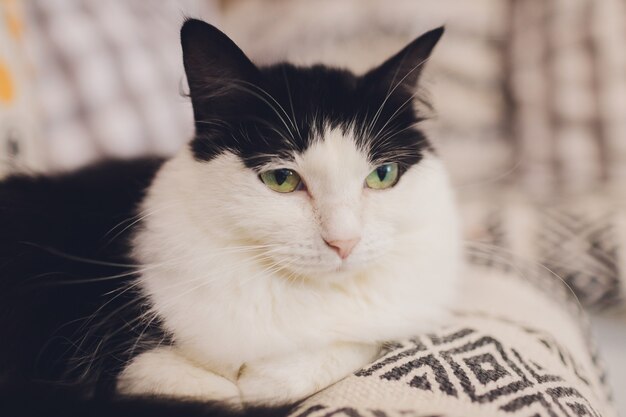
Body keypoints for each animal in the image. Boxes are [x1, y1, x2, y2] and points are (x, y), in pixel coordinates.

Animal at [0, 20, 458, 416]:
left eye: (382, 176)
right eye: (281, 179)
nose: (344, 242)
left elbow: (352, 344)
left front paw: (266, 375)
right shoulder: (129, 363)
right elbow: (214, 392)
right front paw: (247, 383)